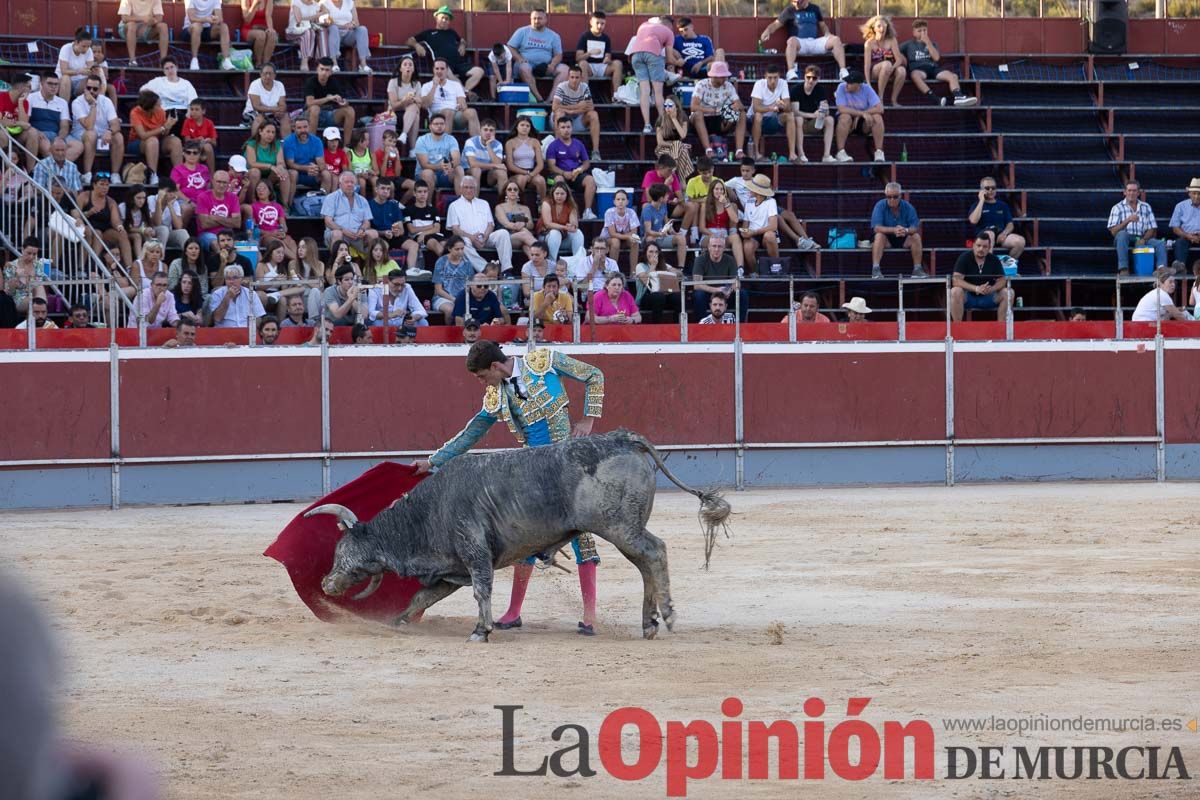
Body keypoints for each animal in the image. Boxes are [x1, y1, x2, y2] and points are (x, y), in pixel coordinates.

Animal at [307, 431, 729, 642]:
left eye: (340, 552)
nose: (325, 583)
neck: (425, 514)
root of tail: (623, 439)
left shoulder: (474, 553)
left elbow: (482, 591)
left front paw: (481, 630)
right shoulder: (450, 570)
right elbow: (420, 596)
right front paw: (398, 621)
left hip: (619, 527)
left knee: (655, 553)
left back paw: (666, 615)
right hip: (626, 529)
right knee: (644, 565)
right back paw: (648, 623)